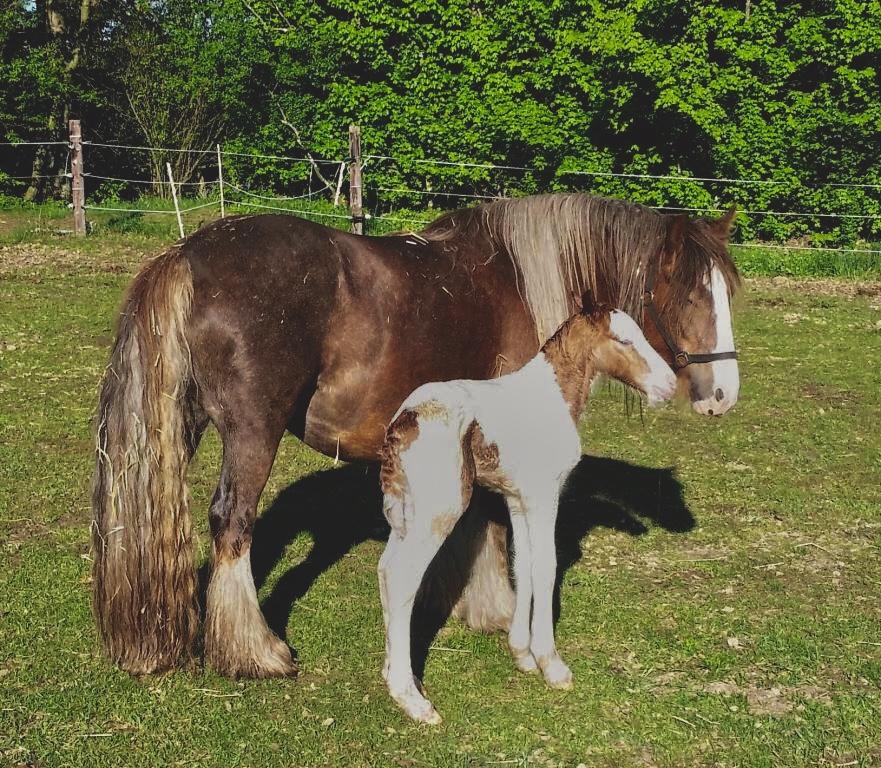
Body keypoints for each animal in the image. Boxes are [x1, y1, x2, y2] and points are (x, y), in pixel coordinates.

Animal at [376, 304, 672, 724]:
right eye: (625, 340)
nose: (669, 386)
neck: (551, 397)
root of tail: (404, 421)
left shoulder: (517, 499)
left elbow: (523, 565)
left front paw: (522, 655)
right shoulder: (545, 495)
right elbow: (546, 568)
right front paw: (552, 664)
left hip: (405, 512)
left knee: (386, 571)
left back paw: (394, 675)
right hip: (438, 513)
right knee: (402, 579)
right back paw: (412, 700)